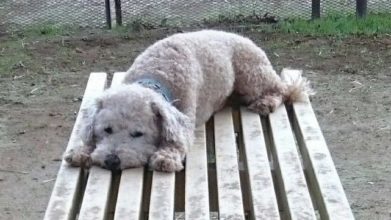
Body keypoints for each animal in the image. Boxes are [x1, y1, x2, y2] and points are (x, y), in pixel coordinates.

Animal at [65, 29, 316, 172]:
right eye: (106, 130)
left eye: (138, 134)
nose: (111, 161)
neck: (155, 75)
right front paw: (82, 151)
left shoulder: (184, 119)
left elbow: (176, 141)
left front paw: (165, 157)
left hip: (251, 73)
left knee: (280, 90)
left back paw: (266, 102)